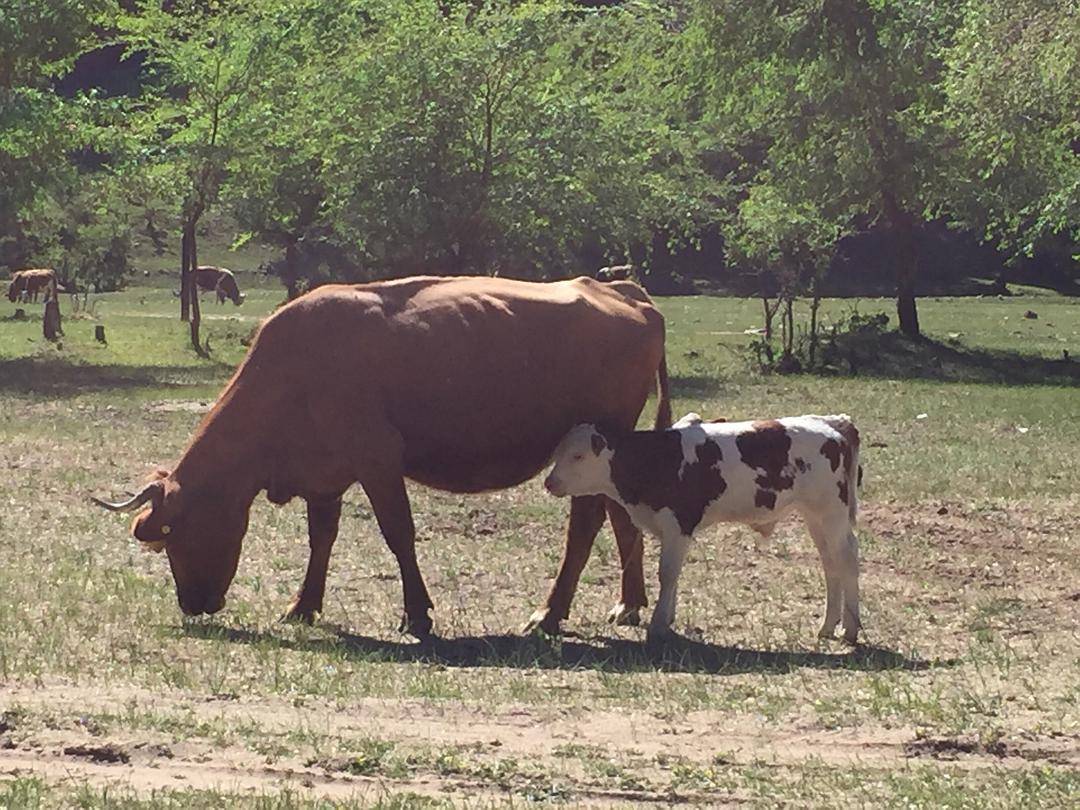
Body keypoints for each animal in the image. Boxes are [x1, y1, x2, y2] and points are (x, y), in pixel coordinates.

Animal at [92, 276, 669, 639]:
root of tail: (620, 291)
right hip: (606, 454)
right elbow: (320, 540)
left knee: (585, 525)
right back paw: (628, 603)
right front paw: (302, 606)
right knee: (619, 518)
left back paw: (549, 614)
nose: (191, 603)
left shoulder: (378, 460)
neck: (294, 372)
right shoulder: (323, 475)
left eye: (175, 532)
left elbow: (398, 535)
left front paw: (417, 615)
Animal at [544, 414, 864, 643]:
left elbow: (667, 573)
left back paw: (849, 629)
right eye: (558, 452)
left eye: (578, 456)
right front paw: (667, 618)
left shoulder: (679, 525)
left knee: (847, 559)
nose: (549, 482)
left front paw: (658, 624)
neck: (658, 459)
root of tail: (832, 423)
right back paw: (827, 626)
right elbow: (673, 574)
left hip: (832, 513)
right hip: (816, 516)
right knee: (830, 563)